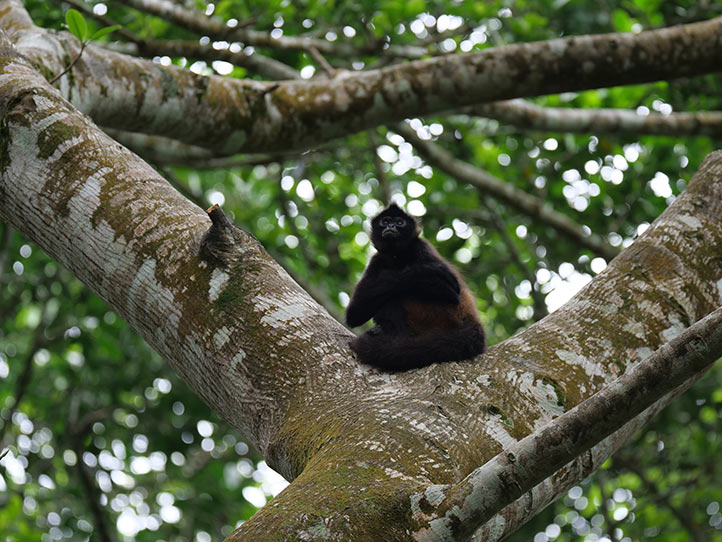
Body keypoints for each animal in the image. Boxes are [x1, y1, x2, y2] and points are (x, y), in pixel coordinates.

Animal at [346, 203, 485, 371]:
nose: (391, 226)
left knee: (392, 300)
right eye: (384, 221)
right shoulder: (378, 259)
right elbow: (354, 312)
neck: (398, 257)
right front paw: (424, 275)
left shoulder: (421, 247)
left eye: (400, 222)